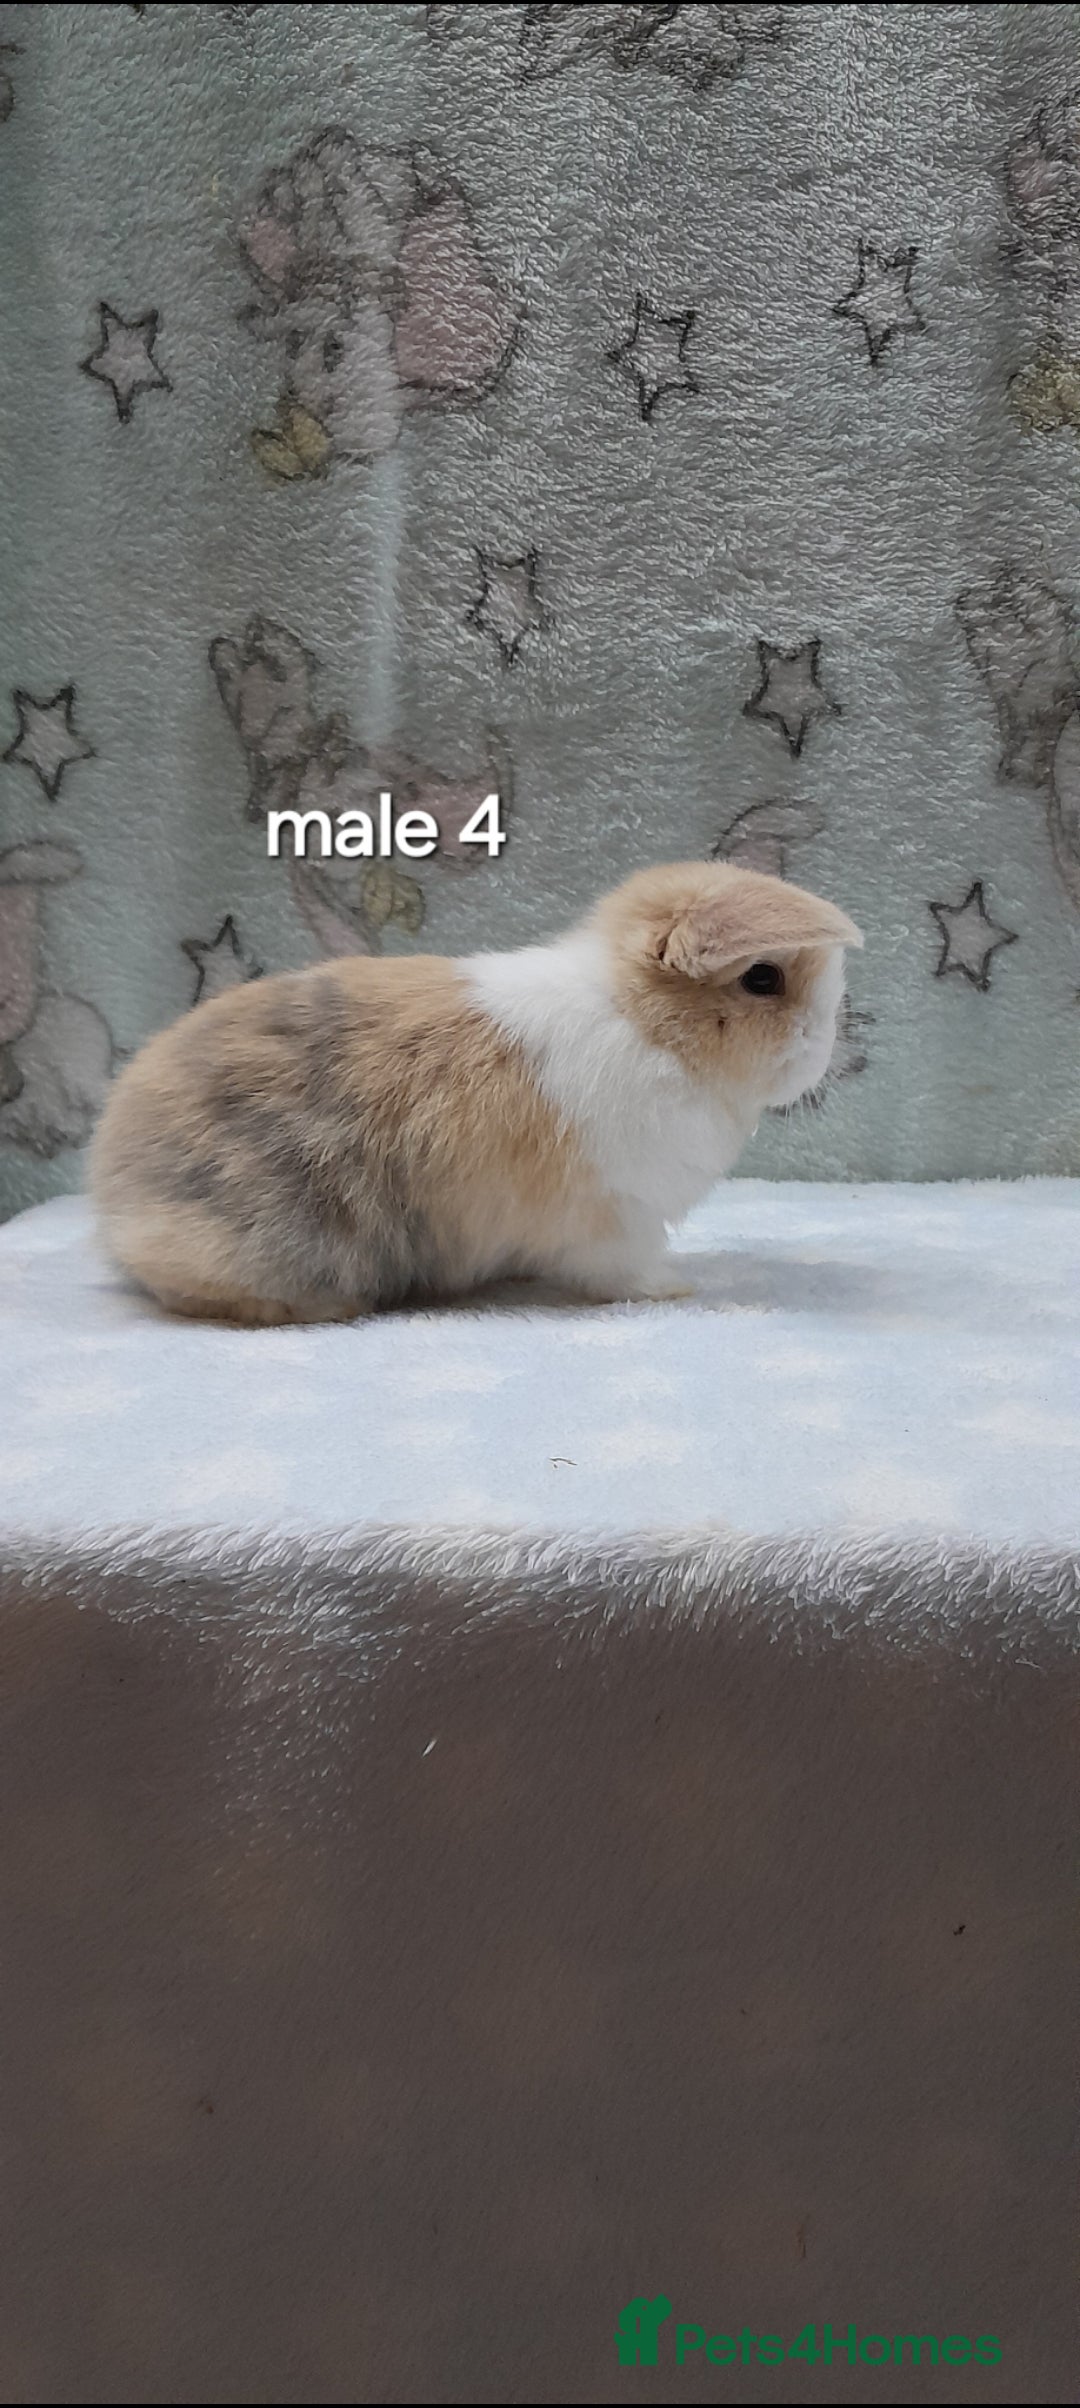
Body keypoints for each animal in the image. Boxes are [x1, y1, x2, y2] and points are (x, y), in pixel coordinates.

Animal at [90, 860, 862, 1324]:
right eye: (762, 978)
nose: (825, 1048)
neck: (645, 1025)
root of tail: (113, 1192)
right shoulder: (619, 1214)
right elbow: (625, 1270)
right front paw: (674, 1287)